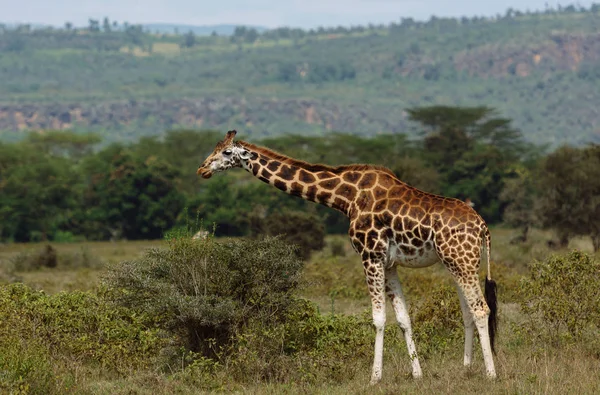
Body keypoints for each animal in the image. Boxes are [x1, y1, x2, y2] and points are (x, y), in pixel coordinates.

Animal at [196, 131, 496, 386]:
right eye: (215, 148)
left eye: (226, 152)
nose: (202, 169)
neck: (346, 197)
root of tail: (483, 226)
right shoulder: (389, 263)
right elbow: (403, 318)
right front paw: (417, 375)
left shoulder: (369, 255)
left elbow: (378, 318)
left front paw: (374, 378)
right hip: (456, 263)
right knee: (468, 312)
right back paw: (466, 369)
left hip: (462, 261)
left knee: (481, 309)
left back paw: (491, 374)